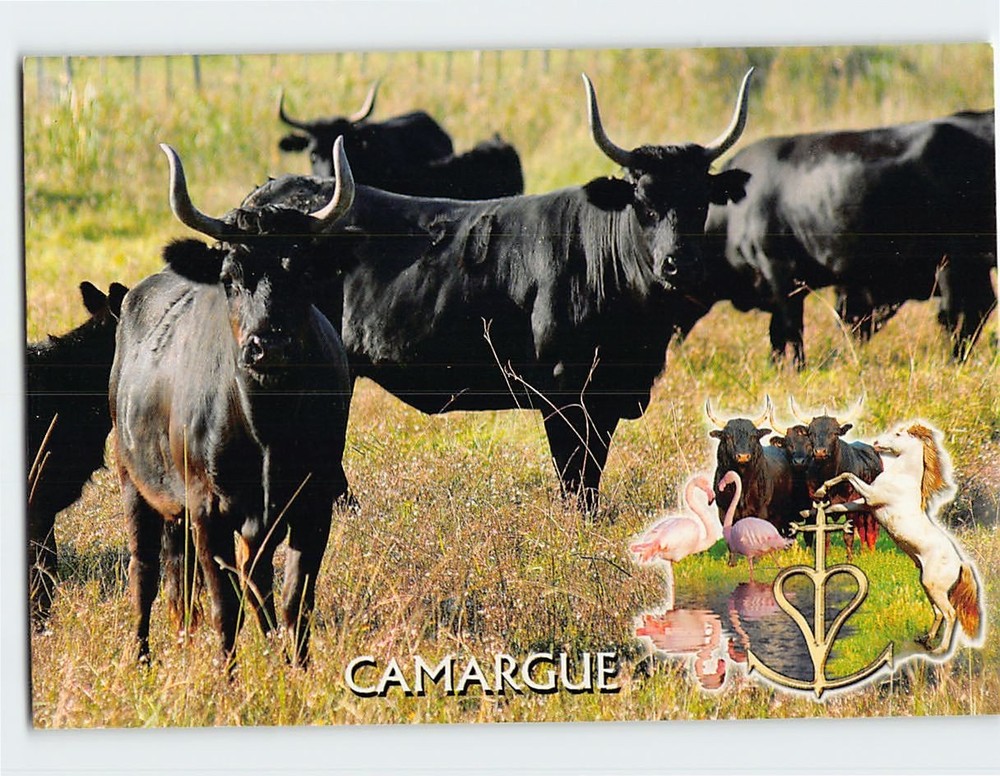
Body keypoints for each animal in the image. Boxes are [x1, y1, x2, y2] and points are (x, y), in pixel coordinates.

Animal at [110, 139, 354, 667]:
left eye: (304, 272)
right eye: (229, 277)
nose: (270, 345)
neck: (266, 427)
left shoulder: (313, 500)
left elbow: (294, 598)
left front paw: (297, 667)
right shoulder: (208, 509)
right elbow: (226, 605)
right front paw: (228, 676)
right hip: (132, 481)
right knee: (145, 571)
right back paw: (141, 656)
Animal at [700, 109, 996, 369]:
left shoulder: (780, 272)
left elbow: (789, 331)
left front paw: (796, 370)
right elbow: (779, 335)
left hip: (953, 261)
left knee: (956, 313)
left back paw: (952, 362)